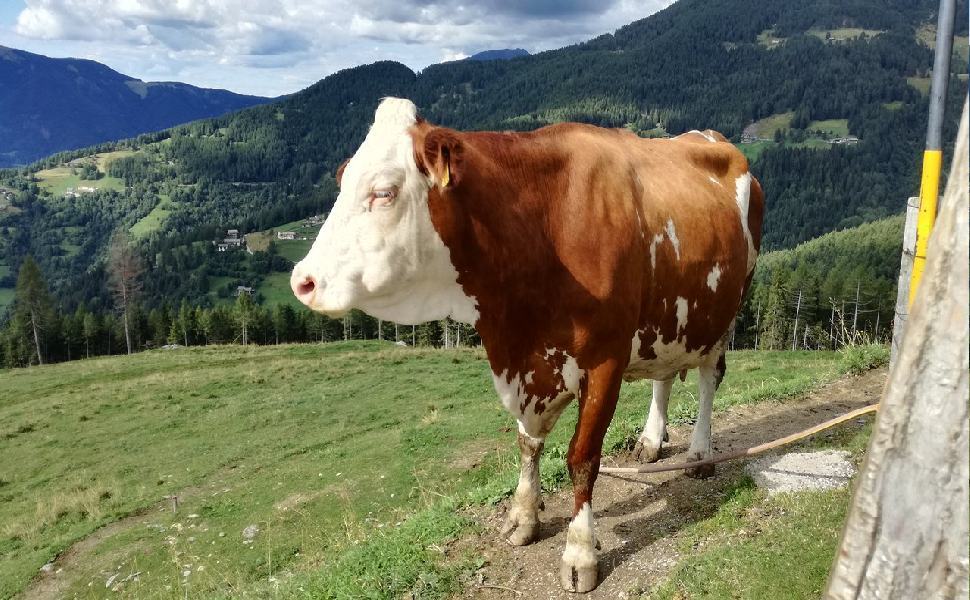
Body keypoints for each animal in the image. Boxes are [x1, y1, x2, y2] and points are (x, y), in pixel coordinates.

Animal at [291, 98, 764, 593]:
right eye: (344, 179)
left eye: (383, 192)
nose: (302, 281)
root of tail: (715, 140)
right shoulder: (527, 363)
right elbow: (527, 444)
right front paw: (523, 516)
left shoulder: (606, 359)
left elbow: (582, 456)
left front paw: (579, 552)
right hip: (669, 313)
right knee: (665, 375)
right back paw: (652, 441)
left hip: (727, 309)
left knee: (709, 379)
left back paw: (700, 453)